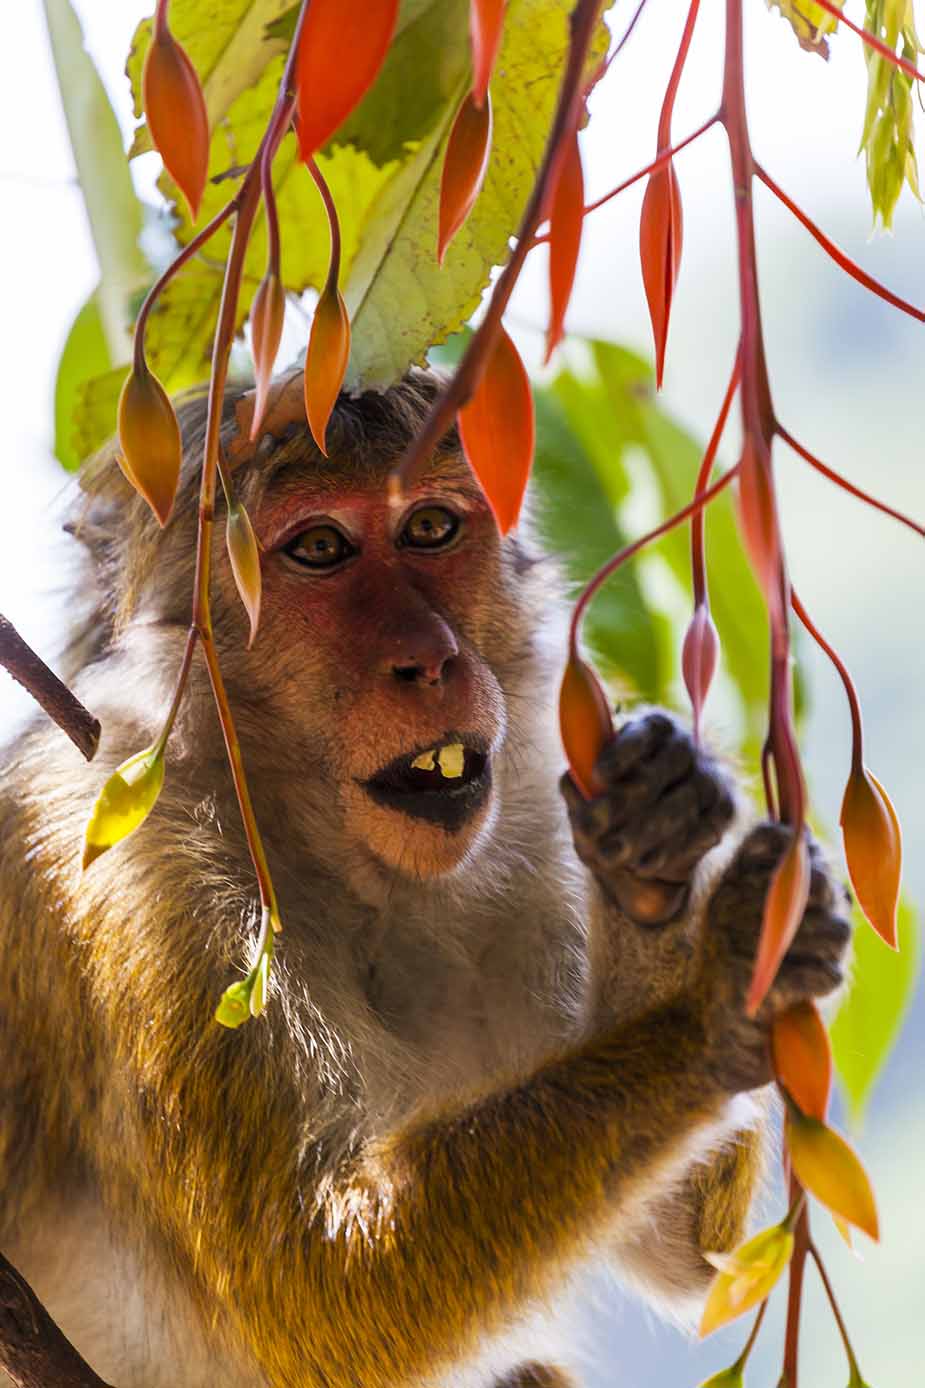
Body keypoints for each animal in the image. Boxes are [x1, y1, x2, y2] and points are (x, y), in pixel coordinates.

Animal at [0, 371, 844, 1388]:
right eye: (319, 548)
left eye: (430, 529)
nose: (432, 660)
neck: (336, 859)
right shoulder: (136, 859)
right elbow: (313, 1288)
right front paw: (711, 1000)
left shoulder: (529, 817)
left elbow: (682, 1251)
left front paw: (653, 859)